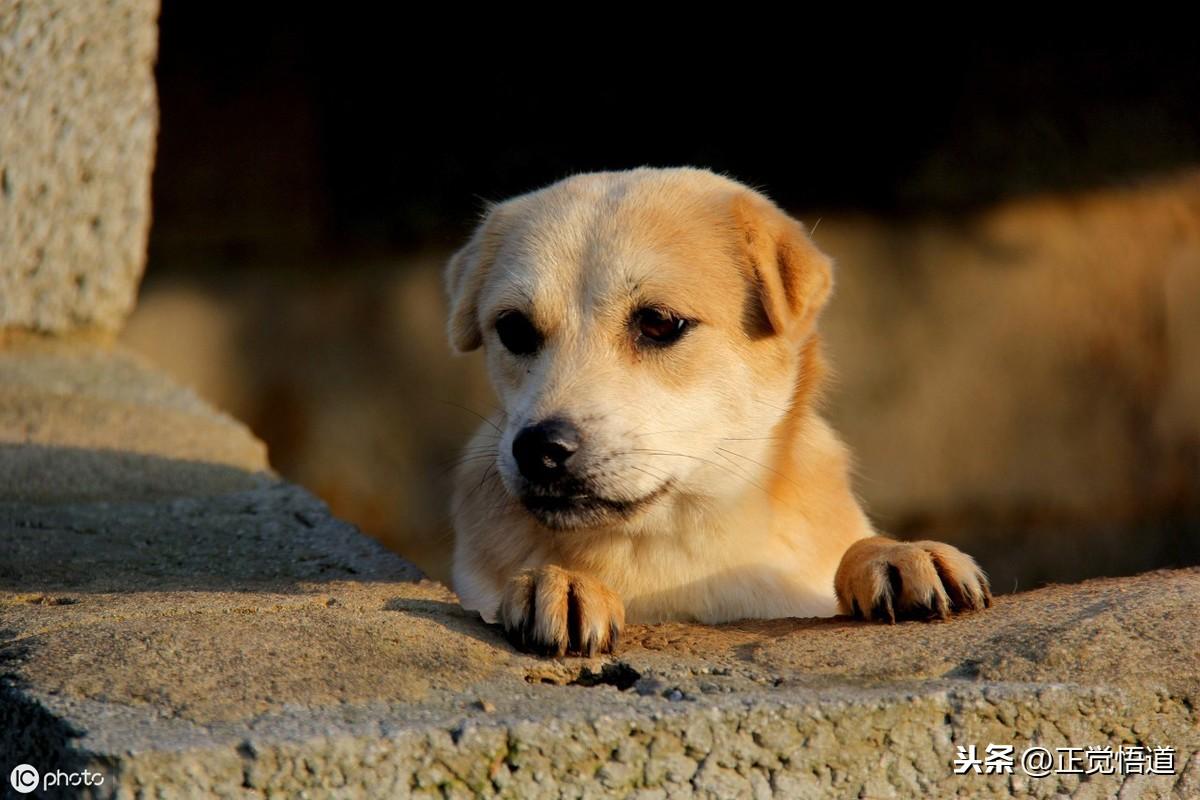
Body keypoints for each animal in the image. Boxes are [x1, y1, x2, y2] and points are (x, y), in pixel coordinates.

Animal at [446, 164, 988, 657]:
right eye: (514, 329)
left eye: (658, 323)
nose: (539, 449)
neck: (678, 548)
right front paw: (559, 580)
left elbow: (858, 547)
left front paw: (898, 555)